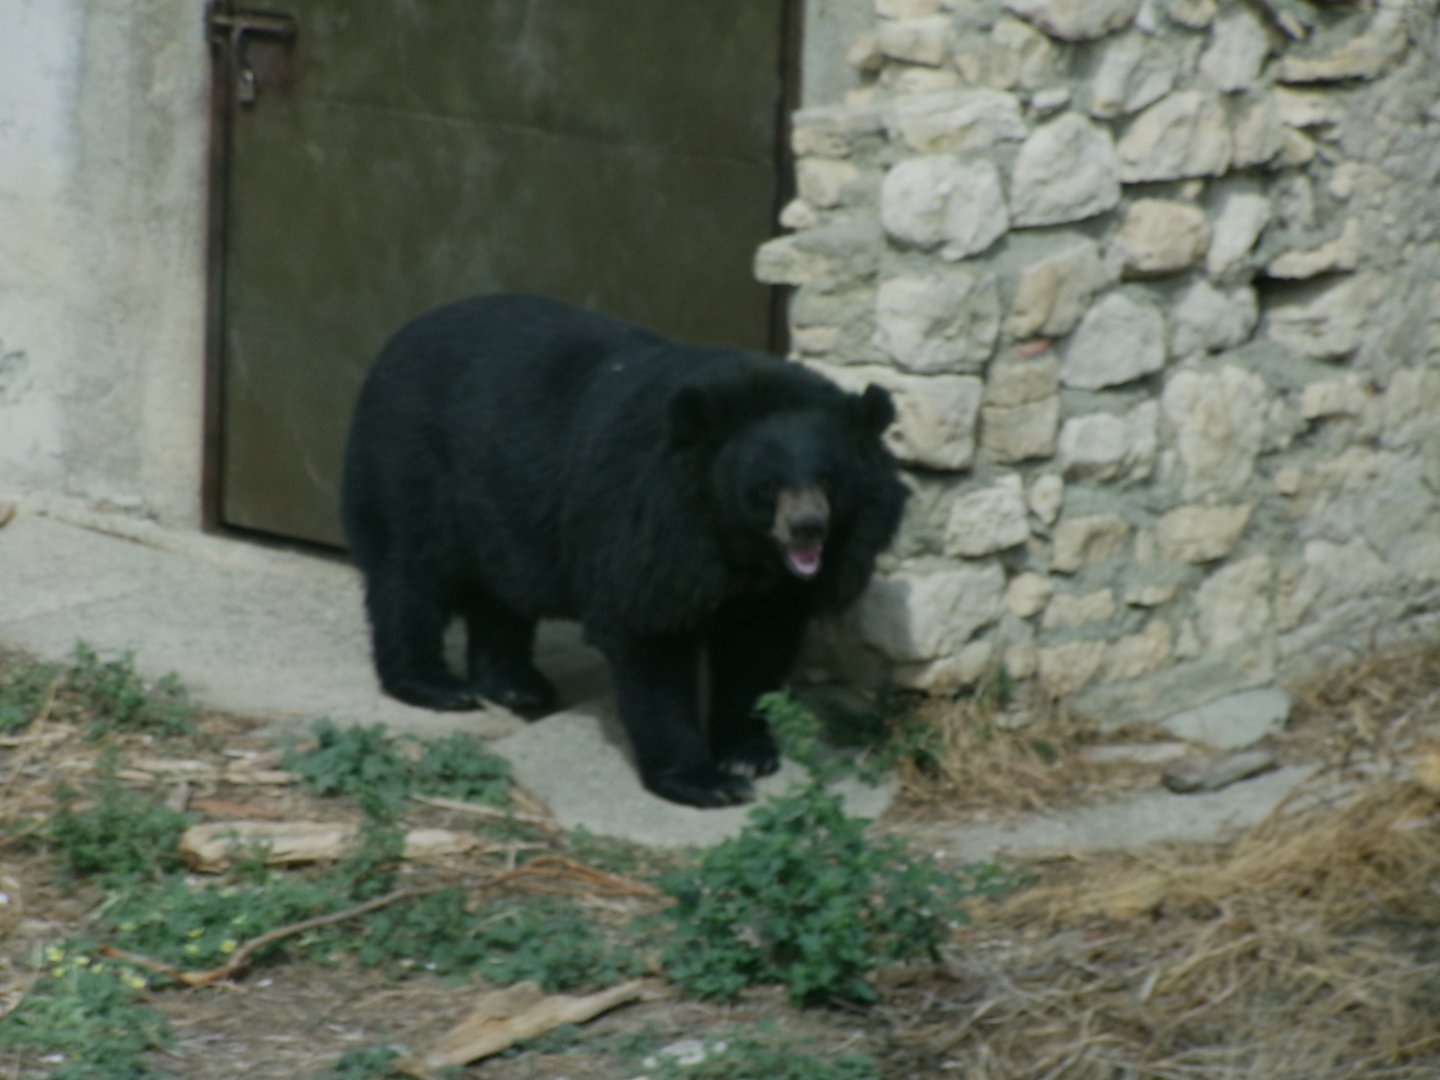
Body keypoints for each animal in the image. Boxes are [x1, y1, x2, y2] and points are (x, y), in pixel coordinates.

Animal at [341, 294, 907, 807]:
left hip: (502, 504)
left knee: (499, 592)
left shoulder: (774, 584)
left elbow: (756, 646)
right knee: (410, 573)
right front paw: (706, 783)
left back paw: (515, 684)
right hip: (410, 463)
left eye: (829, 480)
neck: (739, 546)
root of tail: (402, 334)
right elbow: (650, 637)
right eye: (765, 487)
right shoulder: (648, 523)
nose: (807, 530)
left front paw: (747, 754)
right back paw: (437, 686)